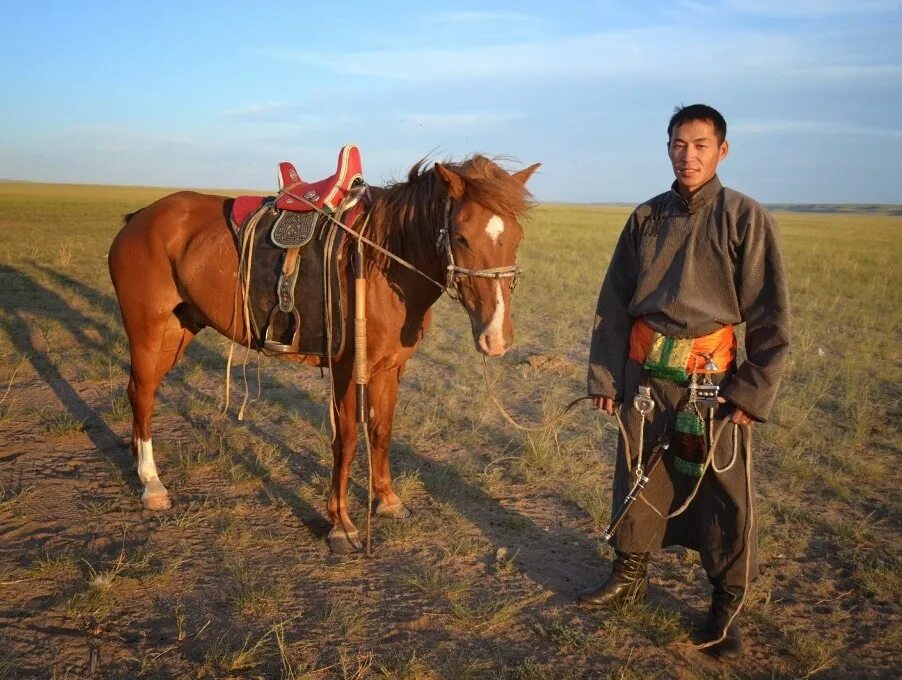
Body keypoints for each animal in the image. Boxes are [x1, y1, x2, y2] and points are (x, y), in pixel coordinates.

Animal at [109, 154, 540, 552]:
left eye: (518, 237)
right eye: (462, 237)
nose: (496, 337)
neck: (383, 260)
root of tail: (139, 218)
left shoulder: (390, 368)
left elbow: (382, 432)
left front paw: (387, 500)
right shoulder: (347, 368)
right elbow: (346, 441)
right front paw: (341, 524)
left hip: (180, 328)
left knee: (140, 391)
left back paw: (136, 459)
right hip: (148, 328)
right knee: (142, 392)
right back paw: (152, 483)